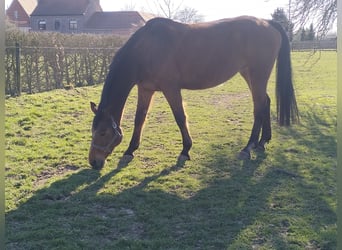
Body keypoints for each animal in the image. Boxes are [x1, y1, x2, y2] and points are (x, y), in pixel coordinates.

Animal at [89, 16, 298, 170]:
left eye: (103, 132)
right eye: (93, 131)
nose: (93, 162)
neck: (147, 48)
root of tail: (267, 22)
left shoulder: (171, 88)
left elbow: (180, 117)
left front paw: (185, 151)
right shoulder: (146, 89)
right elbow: (139, 118)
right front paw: (129, 151)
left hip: (258, 74)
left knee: (258, 107)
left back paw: (248, 147)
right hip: (249, 74)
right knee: (265, 102)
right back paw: (262, 142)